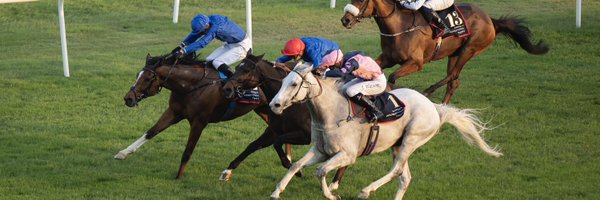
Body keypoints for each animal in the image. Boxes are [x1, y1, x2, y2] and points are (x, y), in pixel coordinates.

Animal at [116, 54, 272, 179]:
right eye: (138, 74)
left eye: (148, 78)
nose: (128, 98)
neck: (193, 85)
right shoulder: (174, 112)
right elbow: (151, 132)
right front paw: (123, 153)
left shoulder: (199, 121)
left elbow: (188, 150)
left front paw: (178, 176)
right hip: (264, 111)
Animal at [221, 53, 350, 191]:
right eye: (237, 67)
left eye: (246, 70)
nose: (227, 88)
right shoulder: (273, 132)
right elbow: (253, 145)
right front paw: (227, 171)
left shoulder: (305, 135)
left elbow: (277, 143)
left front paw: (296, 169)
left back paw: (334, 183)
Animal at [340, 0, 552, 103]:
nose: (345, 20)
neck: (399, 25)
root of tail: (491, 20)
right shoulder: (387, 58)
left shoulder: (416, 63)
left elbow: (392, 78)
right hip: (455, 54)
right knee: (454, 81)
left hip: (469, 48)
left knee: (453, 76)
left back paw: (428, 91)